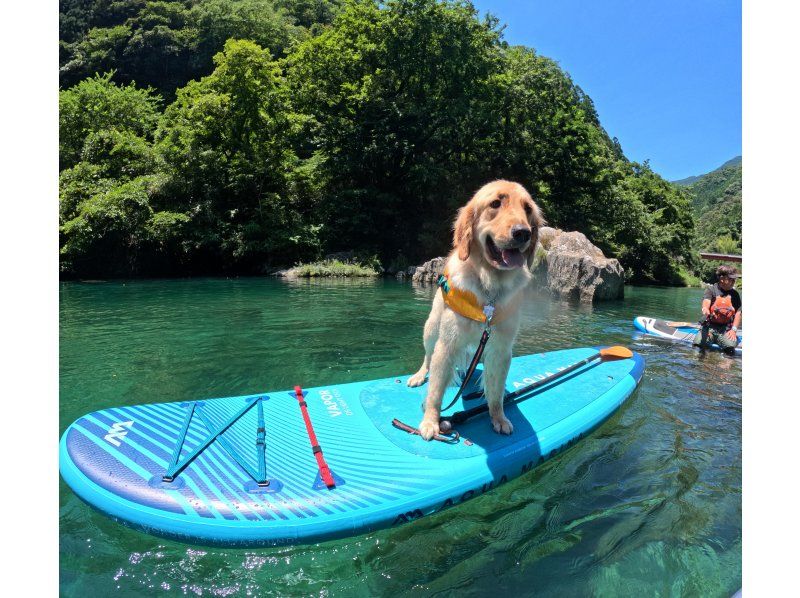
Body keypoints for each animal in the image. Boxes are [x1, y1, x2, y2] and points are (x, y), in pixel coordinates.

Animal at [406, 179, 544, 440]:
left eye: (528, 208)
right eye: (495, 203)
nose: (523, 233)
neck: (489, 288)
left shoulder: (501, 349)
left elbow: (496, 393)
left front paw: (498, 418)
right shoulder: (447, 344)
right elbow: (435, 391)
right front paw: (430, 421)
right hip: (431, 329)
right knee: (428, 357)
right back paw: (419, 376)